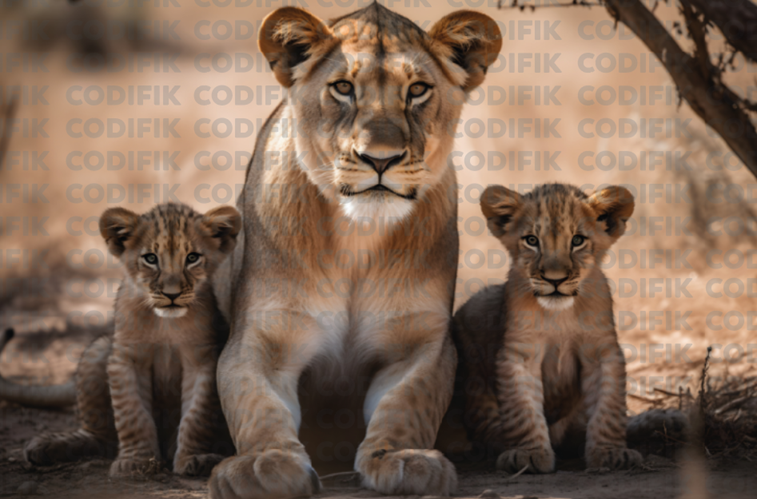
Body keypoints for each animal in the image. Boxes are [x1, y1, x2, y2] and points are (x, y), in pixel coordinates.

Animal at [208, 3, 502, 498]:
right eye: (343, 87)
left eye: (417, 90)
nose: (380, 159)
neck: (356, 239)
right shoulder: (259, 342)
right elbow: (257, 406)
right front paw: (263, 463)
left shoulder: (421, 343)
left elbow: (406, 404)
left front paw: (404, 457)